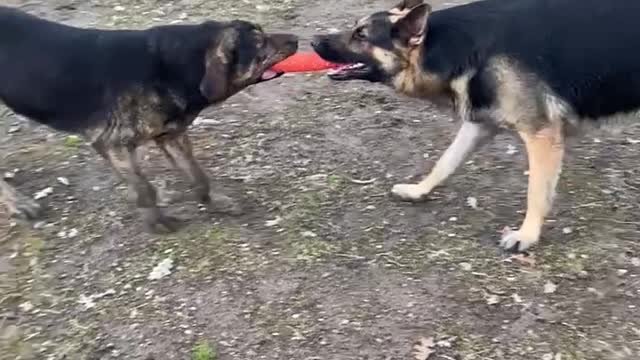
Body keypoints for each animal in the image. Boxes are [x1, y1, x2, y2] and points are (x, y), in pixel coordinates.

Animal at [0, 6, 298, 233]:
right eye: (260, 42)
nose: (296, 38)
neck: (171, 68)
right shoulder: (113, 144)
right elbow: (145, 189)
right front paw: (157, 222)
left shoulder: (173, 137)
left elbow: (198, 176)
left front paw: (213, 202)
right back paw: (19, 203)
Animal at [312, 0, 640, 252]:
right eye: (355, 28)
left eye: (361, 35)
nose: (313, 41)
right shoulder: (479, 125)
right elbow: (445, 162)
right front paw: (419, 190)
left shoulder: (541, 135)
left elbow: (536, 192)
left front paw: (526, 235)